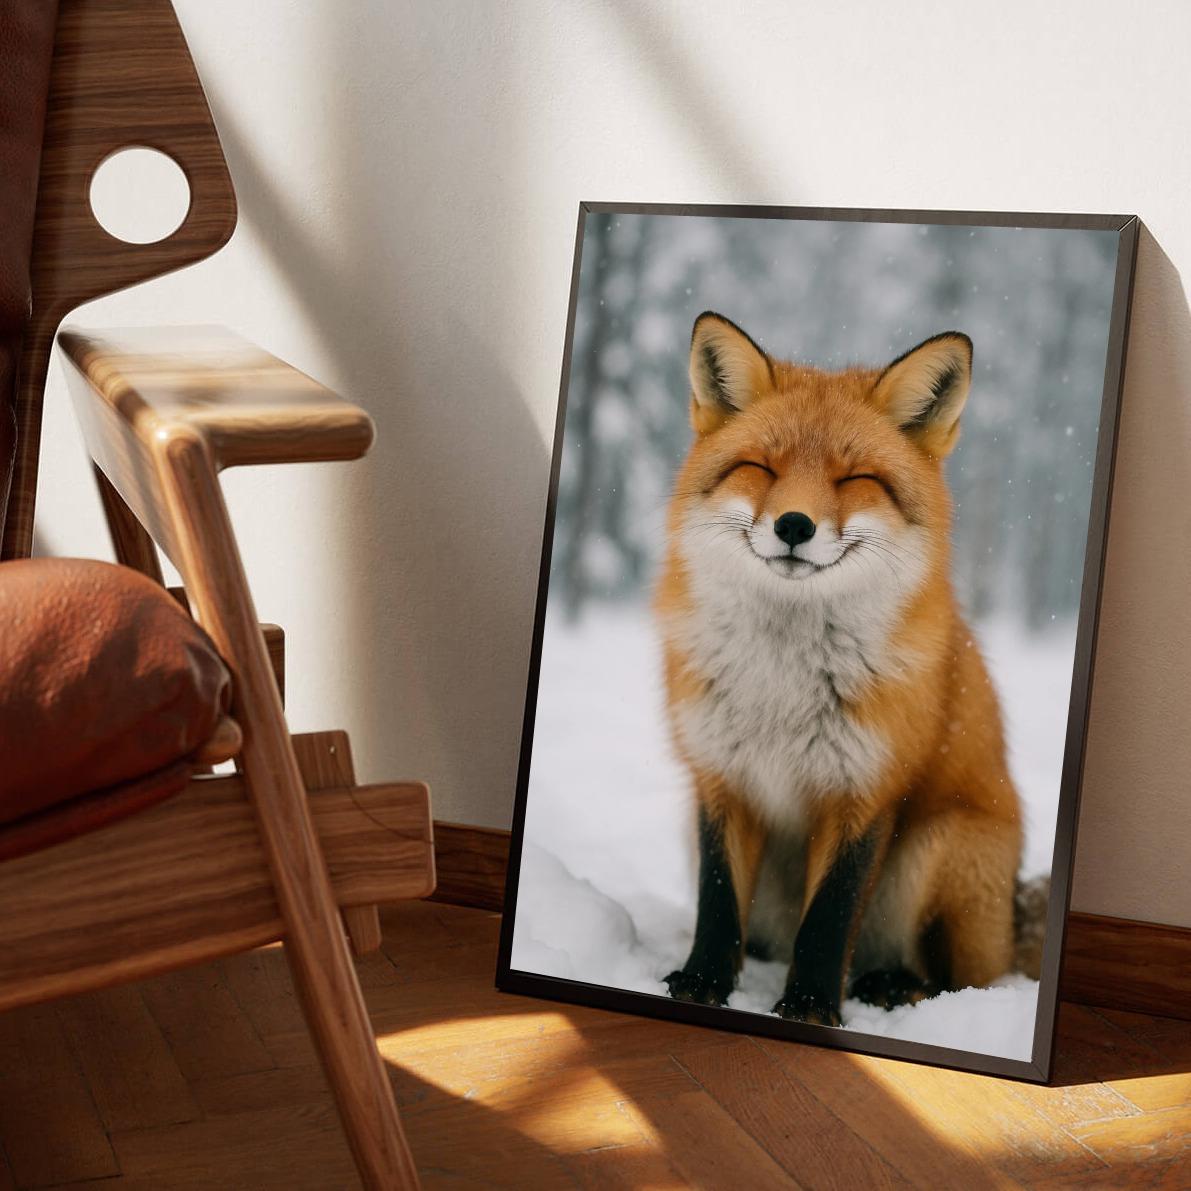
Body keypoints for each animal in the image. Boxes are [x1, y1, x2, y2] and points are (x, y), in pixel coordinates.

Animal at [655, 311, 1025, 1026]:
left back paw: (893, 987)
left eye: (854, 480)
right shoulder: (719, 776)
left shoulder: (867, 787)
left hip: (941, 847)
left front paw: (808, 1009)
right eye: (761, 468)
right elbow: (718, 902)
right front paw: (704, 982)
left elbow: (828, 916)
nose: (794, 525)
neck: (782, 680)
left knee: (965, 982)